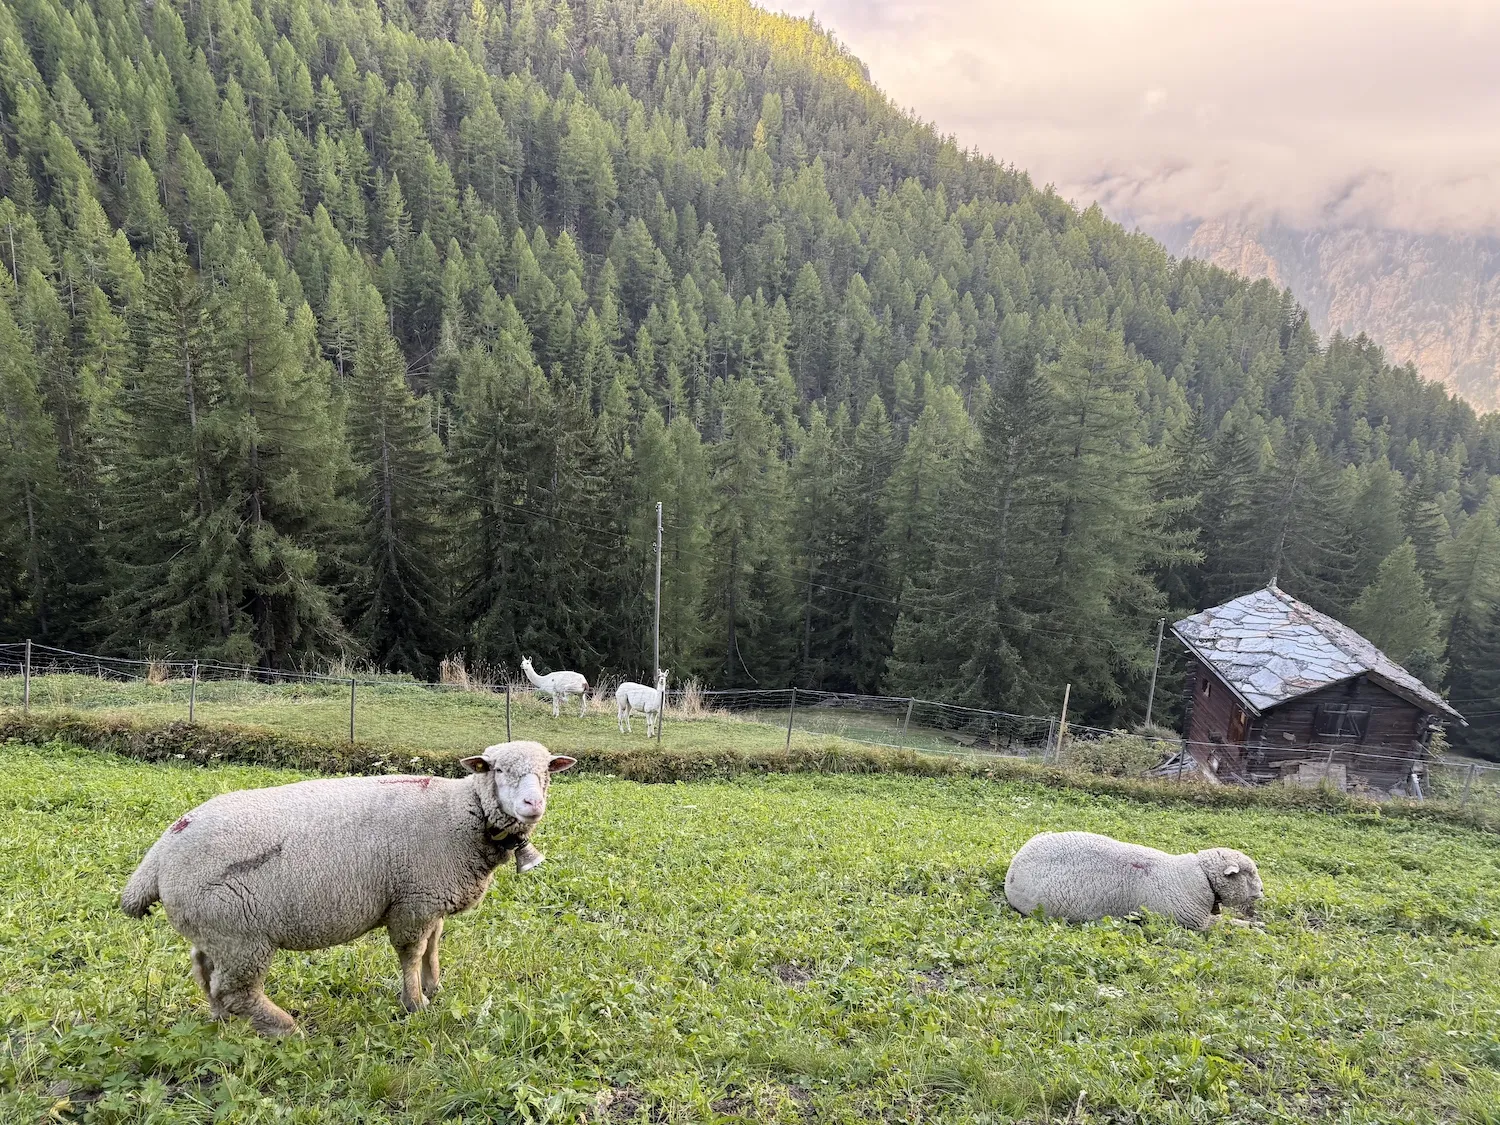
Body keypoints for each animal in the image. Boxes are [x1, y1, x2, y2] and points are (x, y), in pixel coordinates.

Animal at [120, 741, 576, 1036]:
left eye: (546, 774)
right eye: (498, 770)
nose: (532, 804)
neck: (461, 813)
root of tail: (159, 854)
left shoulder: (429, 897)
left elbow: (433, 945)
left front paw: (434, 986)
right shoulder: (413, 902)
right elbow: (412, 953)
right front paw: (416, 1003)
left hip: (212, 928)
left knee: (204, 971)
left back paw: (220, 1022)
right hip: (241, 935)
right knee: (235, 989)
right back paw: (284, 1027)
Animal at [1003, 830, 1263, 931]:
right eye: (1248, 872)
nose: (1262, 891)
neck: (1199, 877)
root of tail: (1014, 865)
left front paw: (1254, 923)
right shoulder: (1192, 924)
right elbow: (1226, 925)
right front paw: (1255, 927)